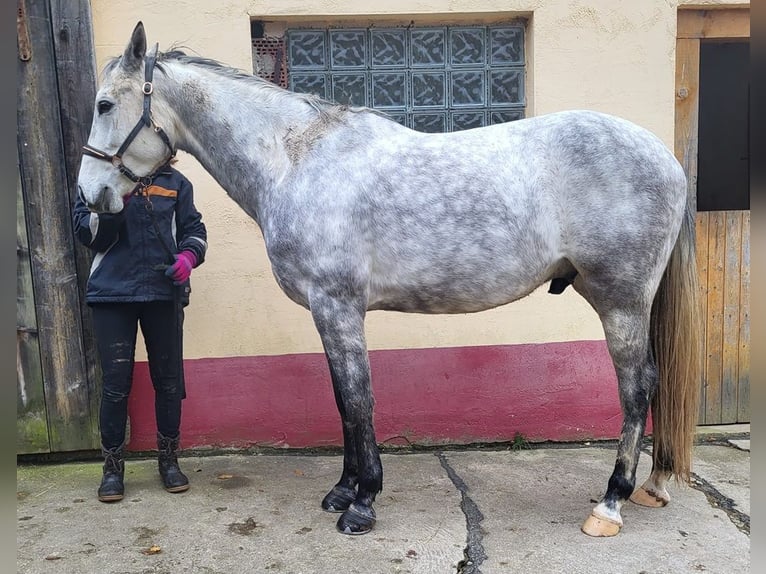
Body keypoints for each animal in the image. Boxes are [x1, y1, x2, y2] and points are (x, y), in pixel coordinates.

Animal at [76, 23, 704, 540]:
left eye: (105, 104)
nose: (90, 199)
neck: (297, 160)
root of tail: (665, 157)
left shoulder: (338, 306)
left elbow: (359, 399)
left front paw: (363, 503)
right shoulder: (326, 313)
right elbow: (341, 400)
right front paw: (342, 490)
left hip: (621, 301)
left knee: (637, 388)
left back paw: (611, 504)